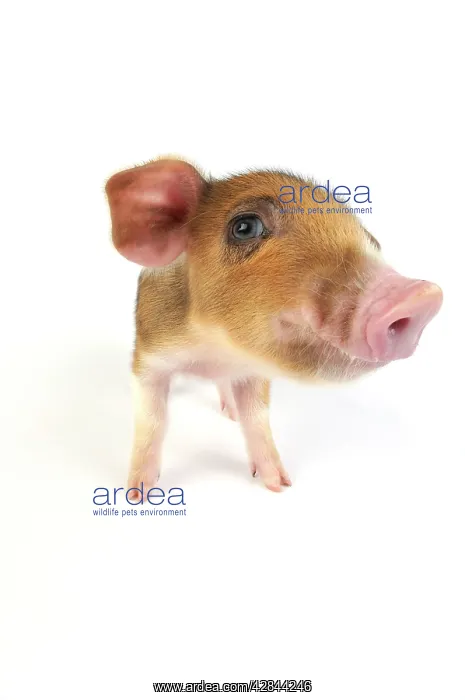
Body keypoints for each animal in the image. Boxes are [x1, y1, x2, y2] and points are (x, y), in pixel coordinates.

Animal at [105, 157, 443, 496]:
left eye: (368, 238)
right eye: (245, 227)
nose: (422, 296)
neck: (214, 352)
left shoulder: (254, 372)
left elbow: (256, 418)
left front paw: (280, 485)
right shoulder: (148, 357)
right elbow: (152, 420)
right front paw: (137, 493)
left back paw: (229, 412)